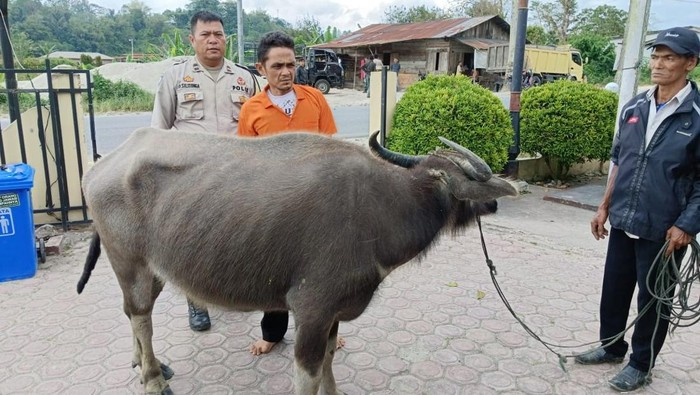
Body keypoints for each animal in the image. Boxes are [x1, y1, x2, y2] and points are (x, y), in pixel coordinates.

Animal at [76, 128, 516, 394]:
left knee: (133, 312)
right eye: (470, 181)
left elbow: (330, 358)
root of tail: (102, 164)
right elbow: (309, 373)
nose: (496, 201)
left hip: (152, 270)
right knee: (141, 317)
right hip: (128, 262)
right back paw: (152, 378)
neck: (382, 208)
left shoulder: (334, 312)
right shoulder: (313, 309)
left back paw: (141, 362)